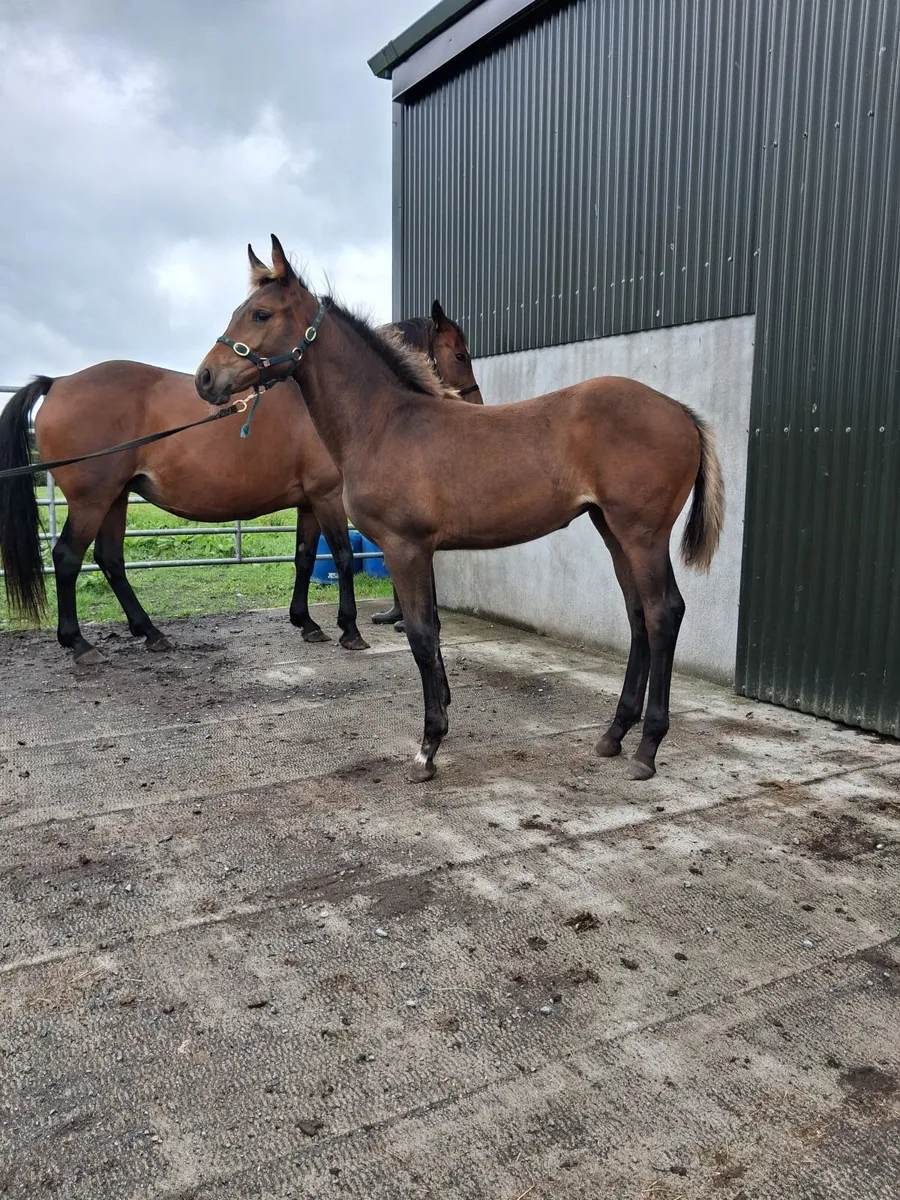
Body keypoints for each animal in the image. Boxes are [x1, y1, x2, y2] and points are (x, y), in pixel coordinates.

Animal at [0, 303, 482, 664]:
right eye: (459, 355)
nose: (476, 404)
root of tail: (58, 382)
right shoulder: (327, 498)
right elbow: (343, 557)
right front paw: (349, 629)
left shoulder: (308, 502)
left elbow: (304, 558)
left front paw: (306, 623)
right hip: (91, 500)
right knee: (67, 558)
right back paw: (79, 644)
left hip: (115, 498)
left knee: (111, 560)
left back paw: (150, 632)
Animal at [196, 237, 725, 784]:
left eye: (261, 313)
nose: (206, 378)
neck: (384, 424)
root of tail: (681, 411)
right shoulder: (422, 550)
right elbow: (431, 630)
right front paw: (442, 717)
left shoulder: (405, 549)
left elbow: (421, 635)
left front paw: (429, 746)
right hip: (612, 530)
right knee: (637, 614)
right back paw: (615, 733)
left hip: (642, 533)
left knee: (663, 613)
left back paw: (647, 747)